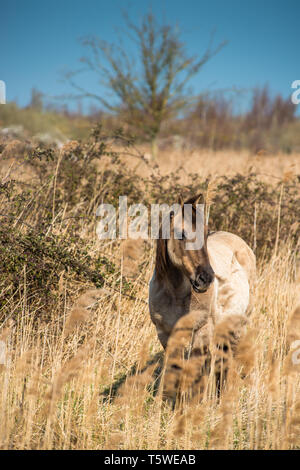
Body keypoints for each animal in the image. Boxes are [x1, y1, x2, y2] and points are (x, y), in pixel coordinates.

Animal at [148, 194, 255, 396]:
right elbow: (173, 370)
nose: (206, 278)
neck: (175, 294)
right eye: (181, 234)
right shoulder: (165, 334)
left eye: (205, 233)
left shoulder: (200, 333)